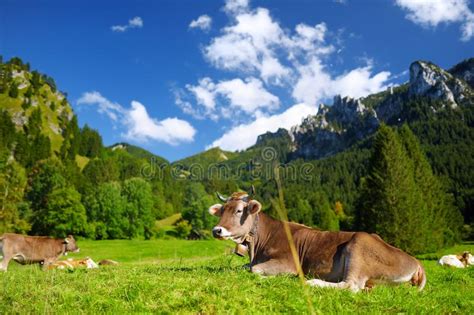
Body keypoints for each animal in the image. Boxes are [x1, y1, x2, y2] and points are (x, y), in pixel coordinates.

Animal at [209, 188, 428, 294]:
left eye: (239, 210)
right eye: (222, 210)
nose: (216, 230)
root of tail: (416, 262)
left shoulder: (290, 263)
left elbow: (253, 270)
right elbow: (242, 267)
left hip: (359, 245)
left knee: (351, 286)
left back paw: (312, 282)